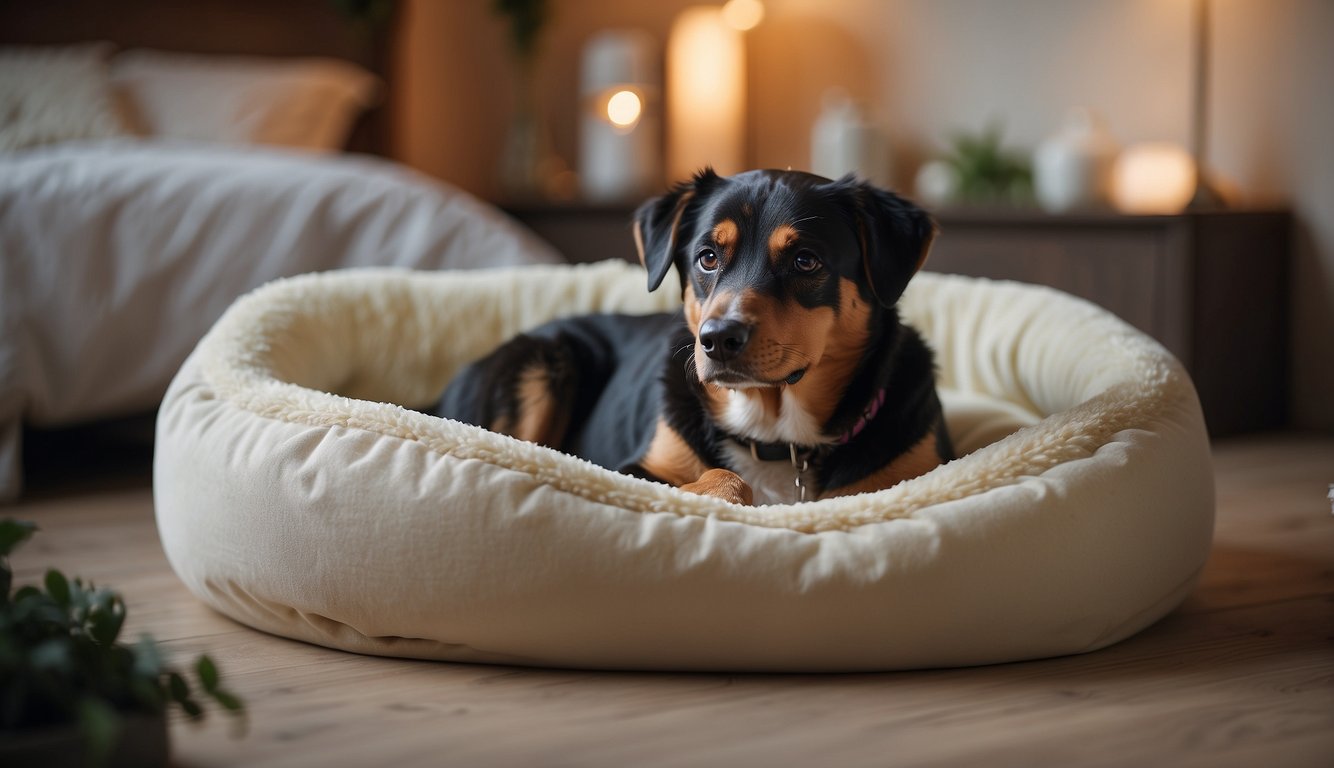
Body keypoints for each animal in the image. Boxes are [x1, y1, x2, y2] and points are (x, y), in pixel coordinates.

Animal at [434, 168, 949, 504]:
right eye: (707, 257)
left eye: (806, 260)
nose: (718, 339)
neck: (776, 436)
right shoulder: (622, 470)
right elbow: (726, 476)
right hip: (543, 362)